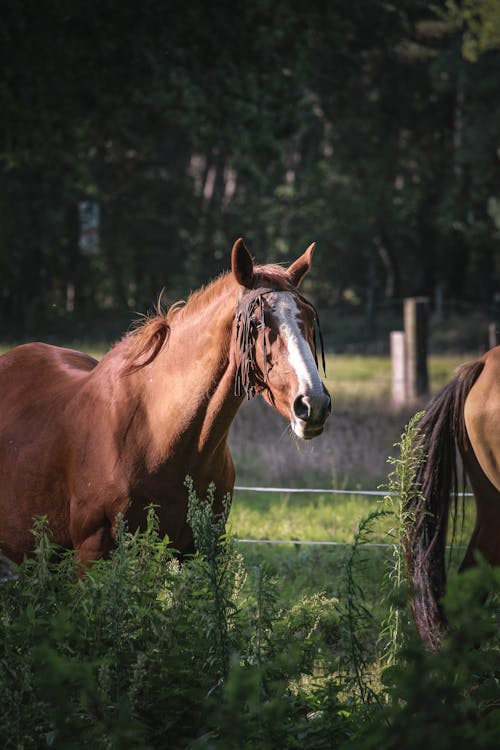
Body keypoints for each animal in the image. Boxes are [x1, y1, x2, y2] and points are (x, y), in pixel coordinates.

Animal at [0, 242, 332, 568]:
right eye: (256, 322)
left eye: (309, 317)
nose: (312, 403)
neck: (156, 433)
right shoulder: (92, 554)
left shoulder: (201, 550)